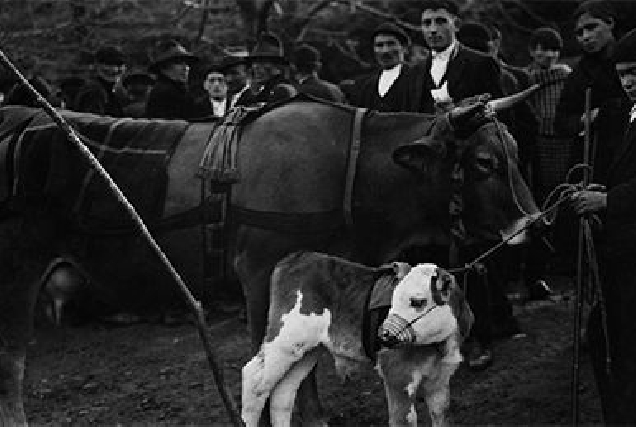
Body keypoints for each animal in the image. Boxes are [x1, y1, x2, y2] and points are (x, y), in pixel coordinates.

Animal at [241, 252, 474, 426]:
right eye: (393, 299)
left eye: (417, 301)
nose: (383, 335)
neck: (440, 345)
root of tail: (296, 257)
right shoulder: (396, 375)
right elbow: (404, 419)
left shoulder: (440, 381)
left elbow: (441, 414)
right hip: (285, 340)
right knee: (254, 379)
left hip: (307, 350)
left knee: (284, 391)